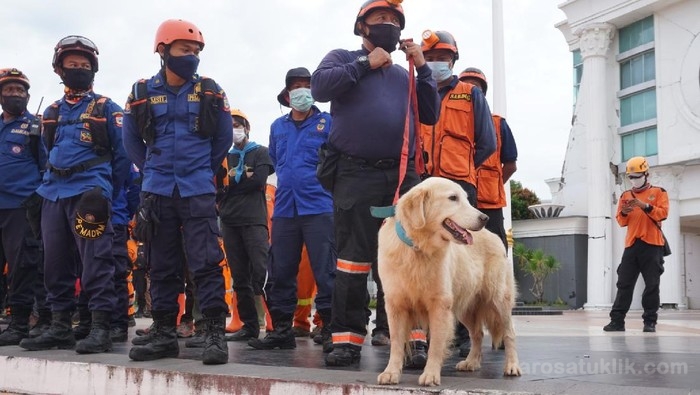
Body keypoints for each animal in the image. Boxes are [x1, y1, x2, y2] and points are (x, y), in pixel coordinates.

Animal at [378, 179, 520, 386]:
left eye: (467, 199)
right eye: (453, 198)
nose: (484, 217)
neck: (418, 248)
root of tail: (494, 235)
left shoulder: (439, 305)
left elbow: (436, 345)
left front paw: (430, 375)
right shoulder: (395, 305)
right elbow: (396, 343)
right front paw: (391, 372)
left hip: (498, 300)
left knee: (509, 334)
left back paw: (512, 366)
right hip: (465, 308)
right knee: (477, 334)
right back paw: (471, 362)